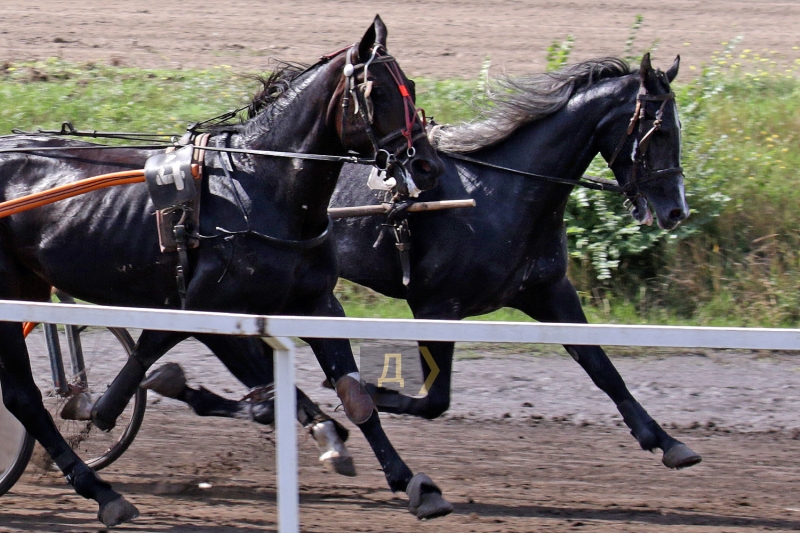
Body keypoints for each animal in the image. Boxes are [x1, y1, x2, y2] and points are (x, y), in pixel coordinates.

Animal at [0, 15, 450, 524]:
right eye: (377, 92)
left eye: (411, 85)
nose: (428, 166)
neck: (262, 187)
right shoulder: (207, 311)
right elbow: (258, 393)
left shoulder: (316, 302)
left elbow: (354, 396)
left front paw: (412, 481)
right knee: (23, 398)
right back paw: (101, 492)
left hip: (28, 285)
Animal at [324, 54, 700, 468]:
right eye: (659, 130)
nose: (677, 210)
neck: (502, 194)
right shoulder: (436, 305)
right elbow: (433, 400)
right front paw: (361, 395)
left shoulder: (549, 291)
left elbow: (603, 369)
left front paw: (665, 440)